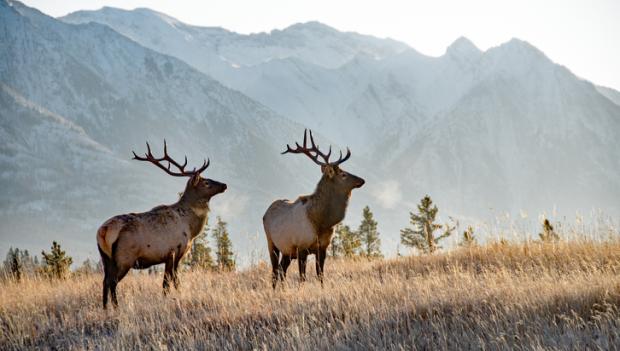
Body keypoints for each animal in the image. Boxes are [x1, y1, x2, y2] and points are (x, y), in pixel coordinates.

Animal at [98, 142, 228, 310]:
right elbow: (170, 282)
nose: (224, 184)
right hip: (124, 257)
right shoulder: (173, 251)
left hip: (105, 258)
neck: (191, 229)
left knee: (105, 282)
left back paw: (105, 308)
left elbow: (170, 281)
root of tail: (103, 230)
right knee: (112, 282)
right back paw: (116, 307)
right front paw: (172, 298)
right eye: (207, 182)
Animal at [260, 129, 364, 288]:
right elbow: (302, 277)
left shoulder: (322, 247)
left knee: (282, 270)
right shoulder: (301, 247)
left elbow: (320, 275)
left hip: (287, 251)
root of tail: (265, 213)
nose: (362, 180)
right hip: (272, 244)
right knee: (275, 272)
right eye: (343, 174)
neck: (321, 222)